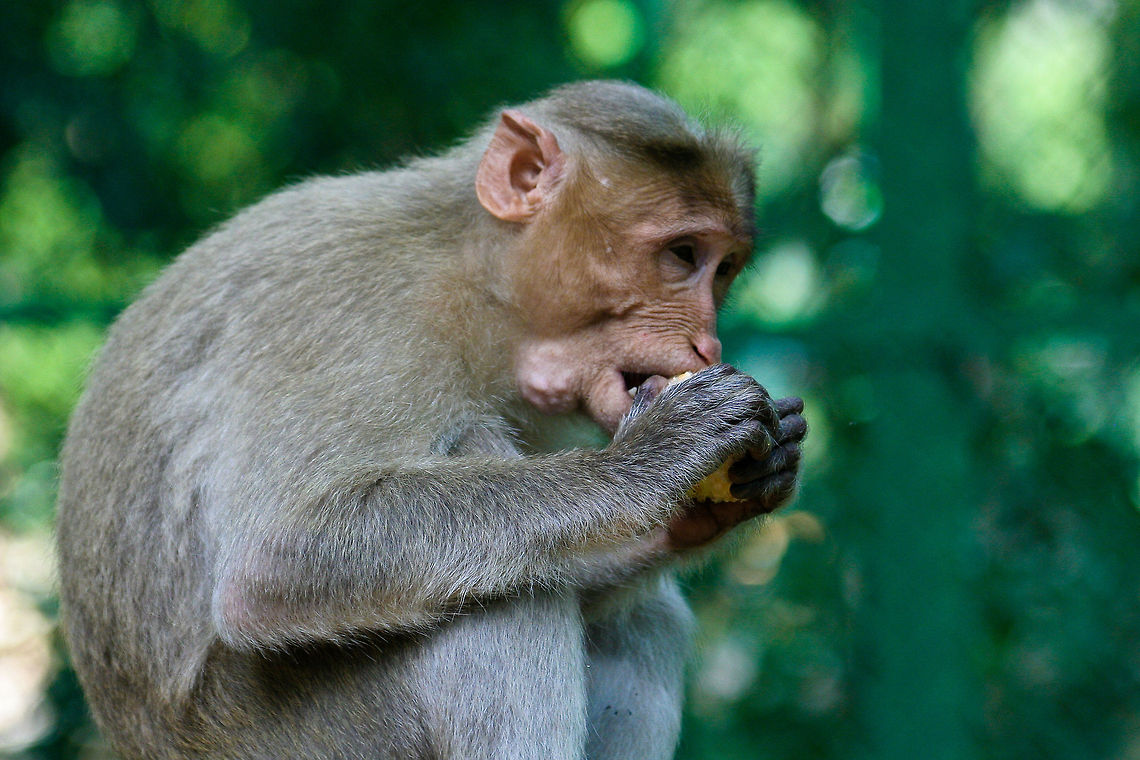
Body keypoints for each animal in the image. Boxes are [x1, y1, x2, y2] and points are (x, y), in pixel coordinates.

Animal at [55, 80, 807, 759]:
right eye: (683, 256)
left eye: (725, 270)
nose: (707, 342)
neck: (471, 277)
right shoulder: (351, 310)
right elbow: (274, 554)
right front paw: (650, 461)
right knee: (495, 577)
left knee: (631, 611)